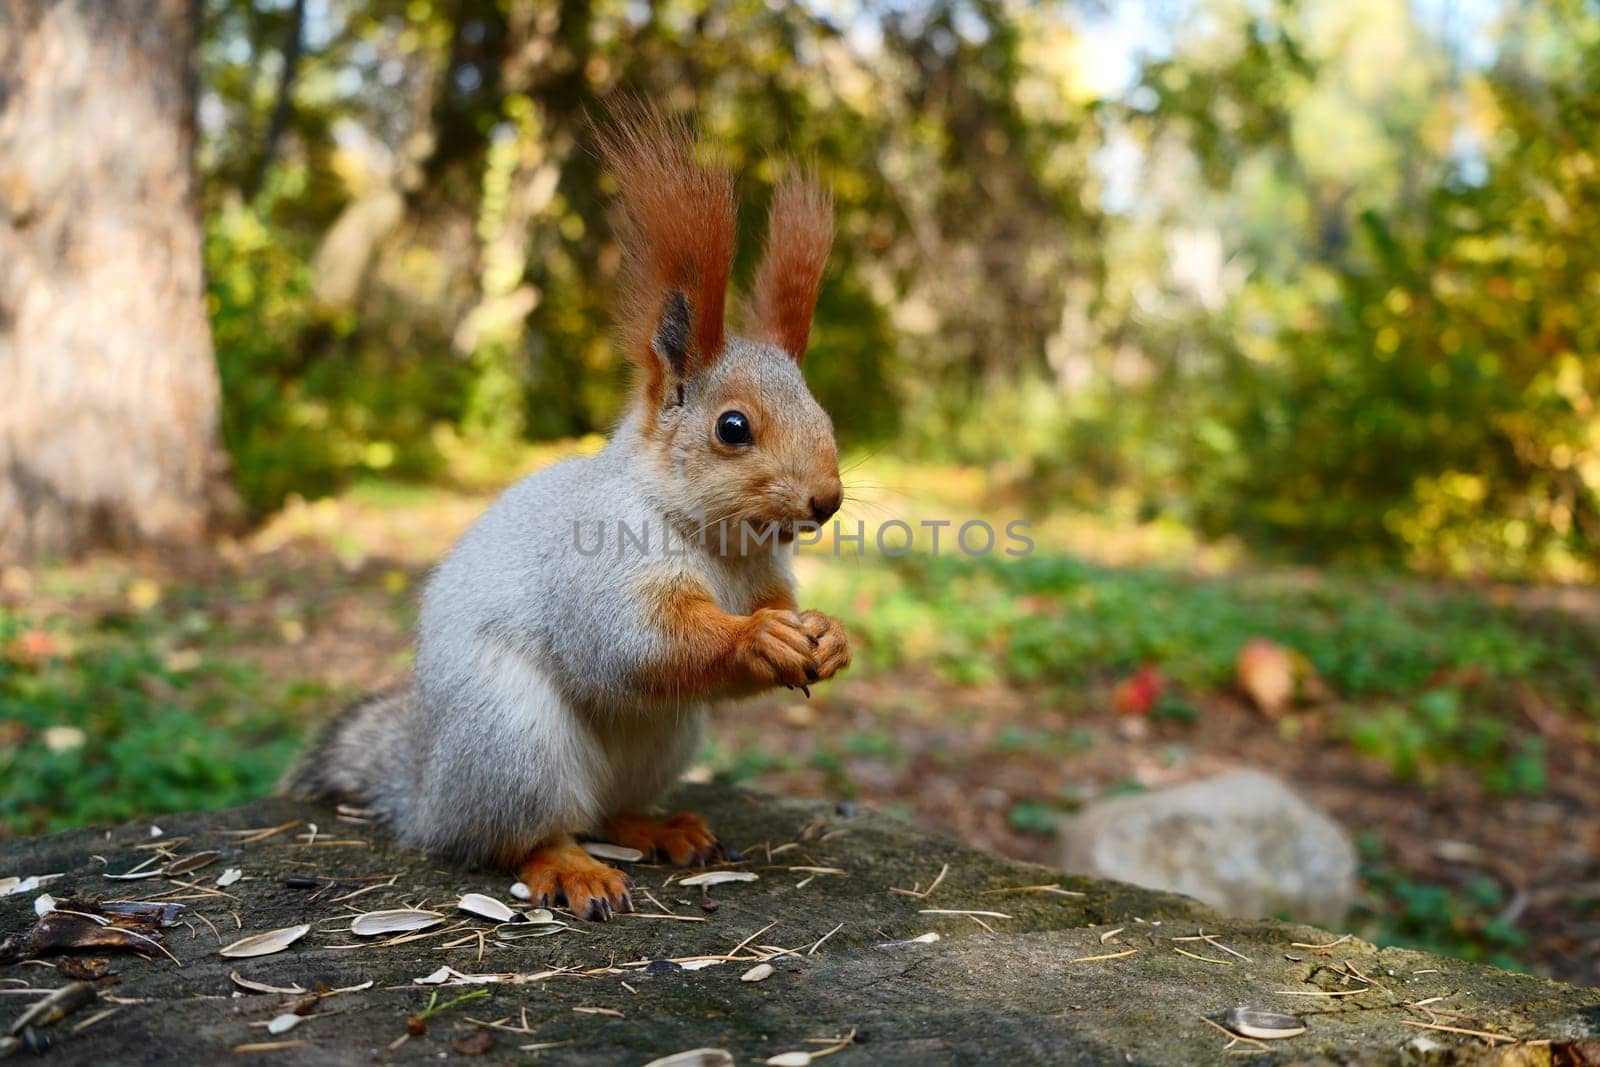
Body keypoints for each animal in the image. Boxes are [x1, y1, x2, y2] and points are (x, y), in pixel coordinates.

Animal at [294, 102, 857, 921]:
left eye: (823, 412)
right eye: (733, 427)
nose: (827, 499)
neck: (719, 543)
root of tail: (429, 799)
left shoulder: (765, 575)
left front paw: (827, 635)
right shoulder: (597, 572)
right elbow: (634, 644)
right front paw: (757, 637)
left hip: (666, 737)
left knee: (605, 812)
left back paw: (661, 828)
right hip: (515, 742)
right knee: (522, 836)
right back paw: (572, 869)